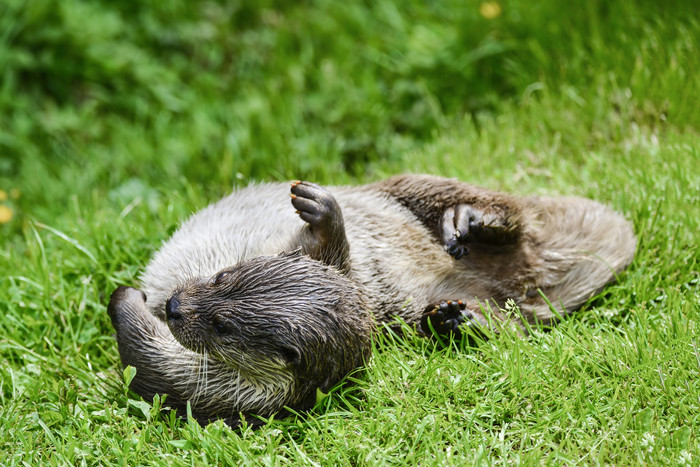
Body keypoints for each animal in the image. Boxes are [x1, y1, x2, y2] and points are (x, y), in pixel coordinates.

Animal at [106, 175, 636, 428]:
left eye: (222, 327)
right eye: (223, 274)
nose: (174, 306)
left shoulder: (238, 396)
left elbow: (149, 364)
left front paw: (127, 299)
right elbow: (327, 252)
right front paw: (322, 213)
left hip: (418, 187)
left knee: (516, 214)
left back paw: (471, 223)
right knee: (512, 319)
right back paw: (458, 315)